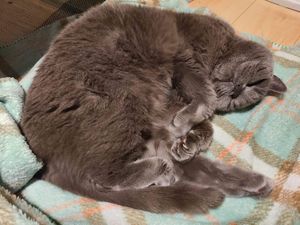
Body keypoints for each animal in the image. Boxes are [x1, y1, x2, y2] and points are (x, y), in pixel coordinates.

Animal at [19, 4, 288, 214]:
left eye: (238, 99)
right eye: (255, 83)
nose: (236, 91)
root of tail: (47, 162)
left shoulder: (169, 109)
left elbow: (204, 123)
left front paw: (188, 142)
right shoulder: (185, 60)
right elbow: (206, 96)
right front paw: (187, 127)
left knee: (204, 172)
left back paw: (258, 184)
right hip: (121, 104)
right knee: (105, 175)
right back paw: (161, 169)